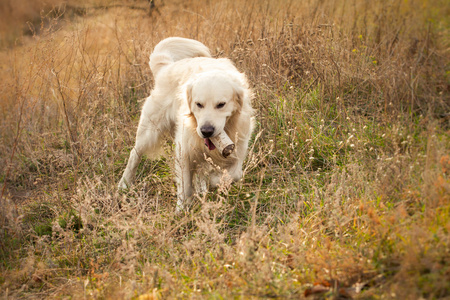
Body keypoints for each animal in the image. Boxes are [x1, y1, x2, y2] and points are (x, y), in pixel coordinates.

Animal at [118, 37, 253, 211]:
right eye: (198, 104)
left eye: (221, 104)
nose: (206, 131)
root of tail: (167, 67)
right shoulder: (184, 149)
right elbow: (185, 184)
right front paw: (182, 209)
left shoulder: (239, 148)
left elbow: (234, 174)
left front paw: (214, 181)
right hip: (149, 132)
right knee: (134, 154)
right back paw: (124, 184)